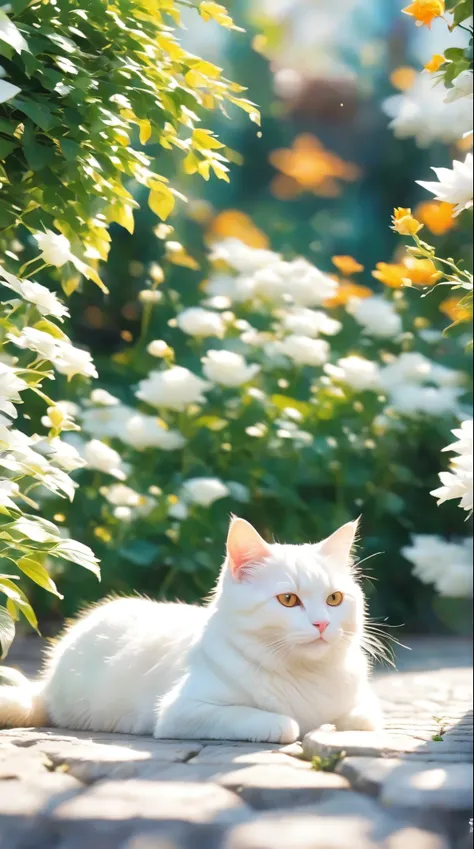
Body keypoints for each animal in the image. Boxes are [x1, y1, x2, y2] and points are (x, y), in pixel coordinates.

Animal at [0, 512, 382, 740]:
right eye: (288, 600)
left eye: (334, 599)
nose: (322, 623)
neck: (305, 674)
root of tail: (47, 684)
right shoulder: (183, 711)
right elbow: (281, 723)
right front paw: (297, 724)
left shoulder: (361, 706)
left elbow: (362, 718)